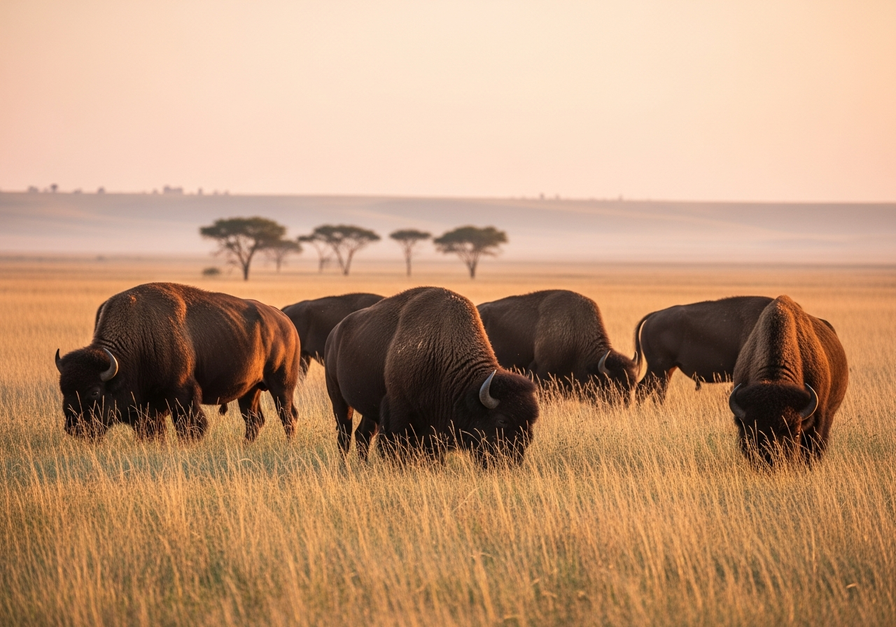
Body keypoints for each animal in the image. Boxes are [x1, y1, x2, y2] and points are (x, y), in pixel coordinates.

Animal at [55, 282, 301, 442]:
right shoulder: (150, 407)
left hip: (282, 386)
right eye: (63, 389)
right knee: (253, 420)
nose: (73, 428)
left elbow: (189, 428)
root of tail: (285, 322)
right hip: (250, 390)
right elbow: (152, 432)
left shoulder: (183, 396)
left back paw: (288, 445)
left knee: (287, 416)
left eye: (95, 391)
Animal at [325, 286, 539, 466]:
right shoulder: (397, 417)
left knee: (363, 434)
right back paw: (344, 466)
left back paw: (363, 465)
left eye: (530, 422)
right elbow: (392, 448)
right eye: (502, 421)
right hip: (338, 398)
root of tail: (334, 333)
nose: (512, 463)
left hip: (370, 409)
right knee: (345, 434)